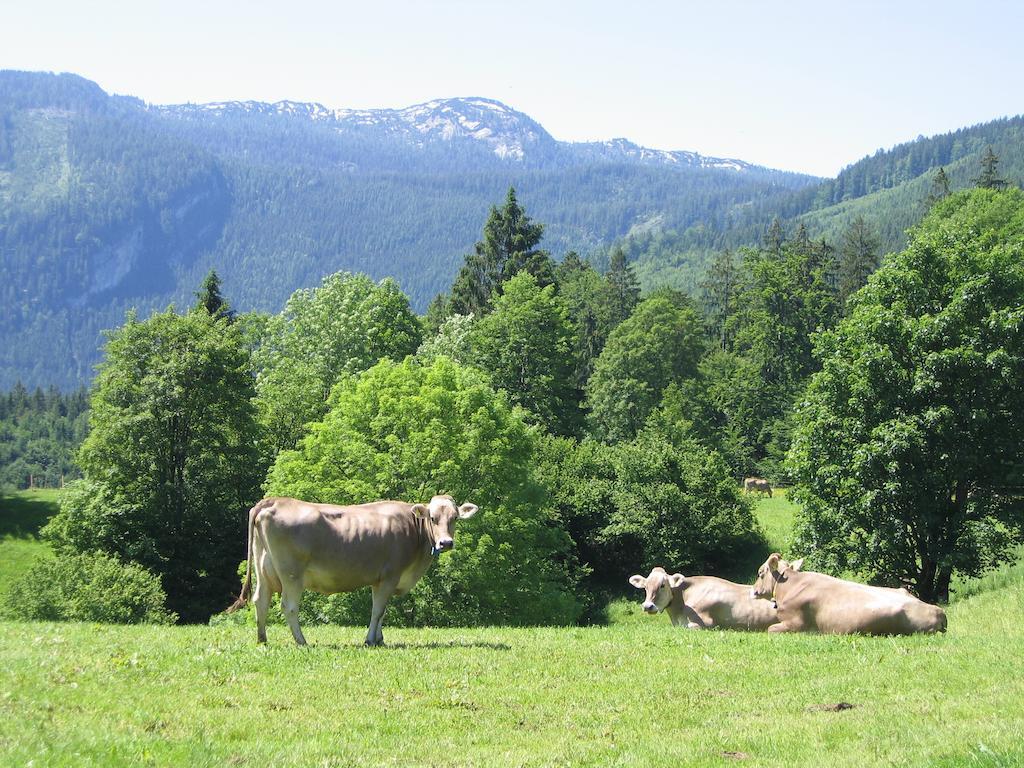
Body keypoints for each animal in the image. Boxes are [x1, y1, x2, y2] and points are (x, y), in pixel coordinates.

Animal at [226, 495, 477, 647]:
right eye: (433, 518)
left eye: (455, 517)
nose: (446, 542)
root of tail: (274, 501)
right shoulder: (389, 576)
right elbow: (378, 611)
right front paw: (370, 640)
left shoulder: (380, 580)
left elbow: (382, 612)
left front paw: (380, 639)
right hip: (291, 574)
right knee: (288, 606)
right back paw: (302, 641)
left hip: (264, 570)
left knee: (260, 600)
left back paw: (262, 639)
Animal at [749, 552, 946, 638]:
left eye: (759, 573)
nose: (753, 590)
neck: (790, 585)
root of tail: (937, 610)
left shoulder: (795, 625)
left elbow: (770, 629)